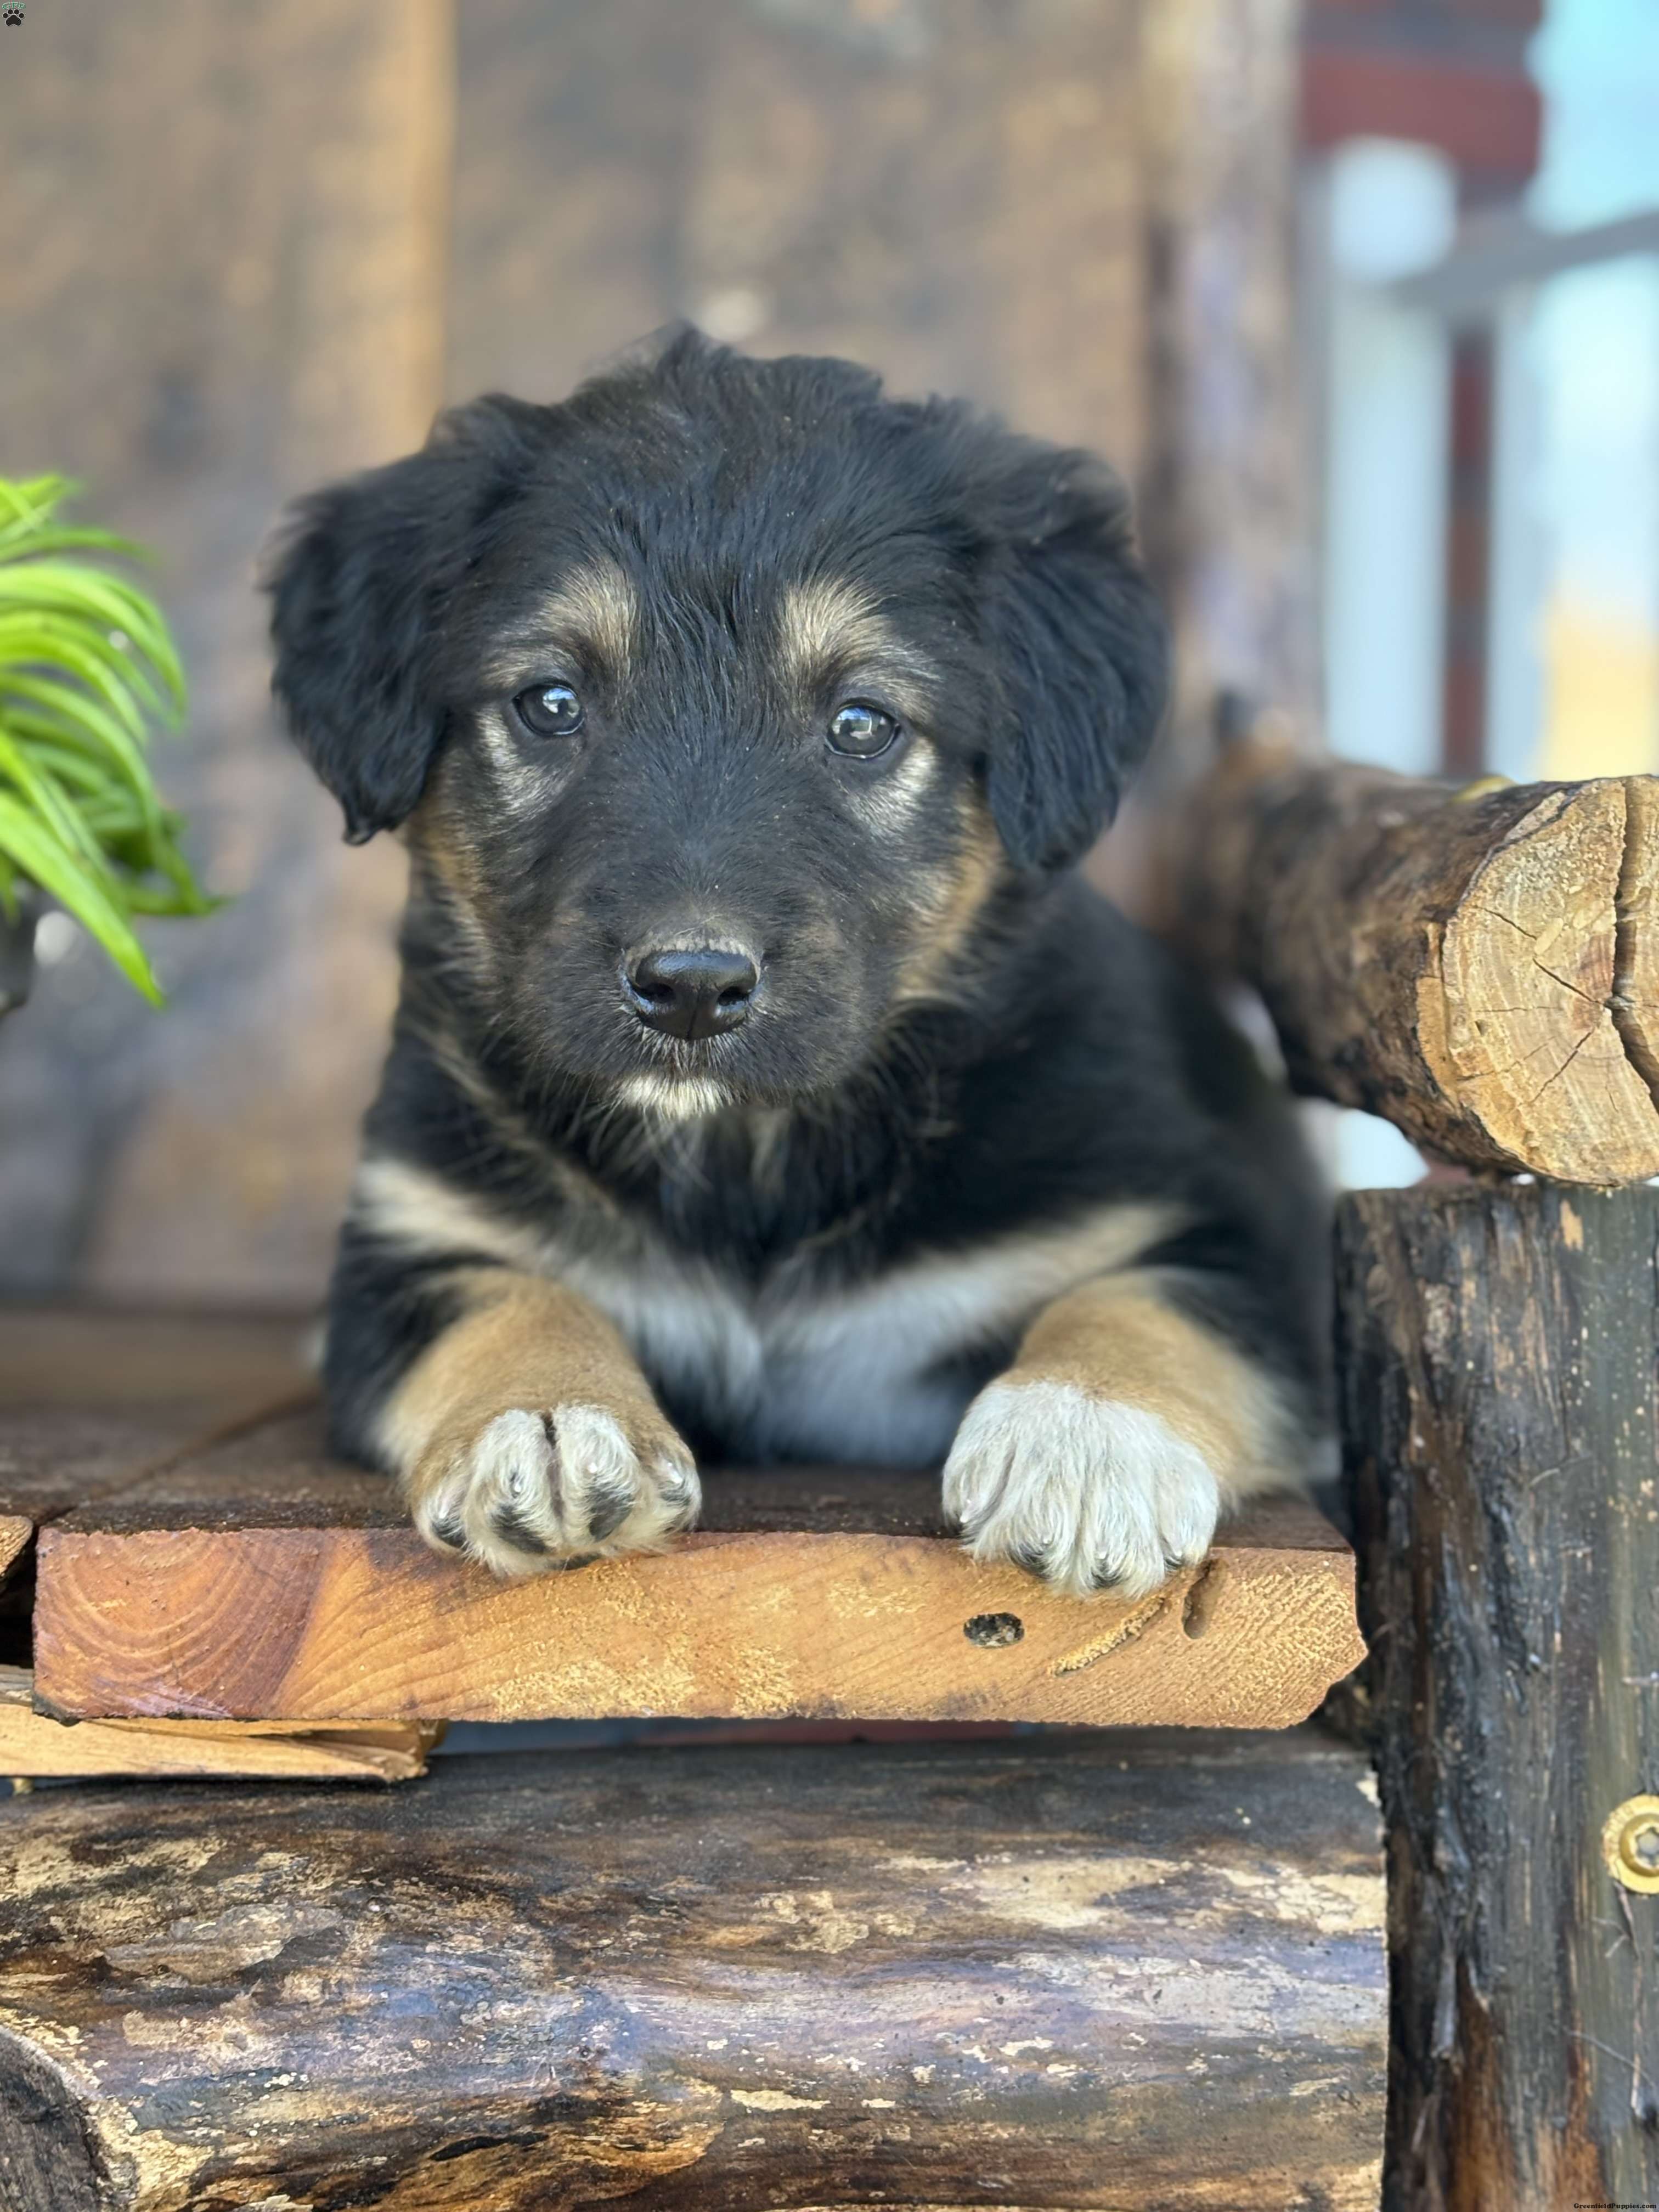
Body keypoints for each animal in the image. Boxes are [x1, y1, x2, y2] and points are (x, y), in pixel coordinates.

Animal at [266, 329, 1330, 1600]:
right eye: (551, 702)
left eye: (862, 723)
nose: (690, 988)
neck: (745, 1161)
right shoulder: (414, 1240)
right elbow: (503, 1297)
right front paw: (546, 1418)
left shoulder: (1219, 1242)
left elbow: (1142, 1302)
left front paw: (1085, 1433)